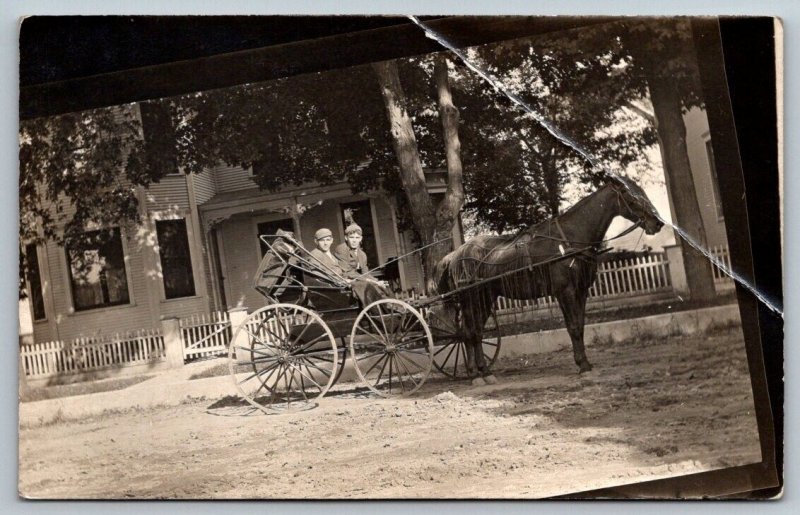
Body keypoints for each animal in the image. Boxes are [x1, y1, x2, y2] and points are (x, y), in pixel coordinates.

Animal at [434, 177, 664, 382]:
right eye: (629, 193)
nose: (658, 223)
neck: (569, 240)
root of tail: (455, 255)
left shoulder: (581, 291)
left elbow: (580, 326)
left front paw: (586, 363)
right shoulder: (566, 292)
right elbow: (573, 327)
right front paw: (583, 365)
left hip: (484, 298)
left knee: (472, 333)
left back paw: (480, 372)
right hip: (473, 299)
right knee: (471, 333)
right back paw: (479, 374)